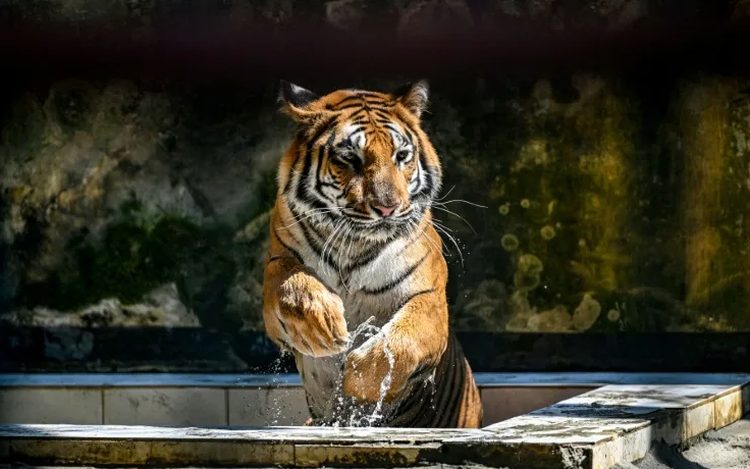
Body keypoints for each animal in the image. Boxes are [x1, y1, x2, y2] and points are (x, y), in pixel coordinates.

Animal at [261, 79, 482, 428]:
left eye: (401, 155)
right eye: (350, 158)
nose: (388, 207)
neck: (352, 243)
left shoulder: (429, 298)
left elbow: (403, 340)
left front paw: (354, 378)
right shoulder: (278, 265)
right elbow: (290, 285)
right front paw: (324, 328)